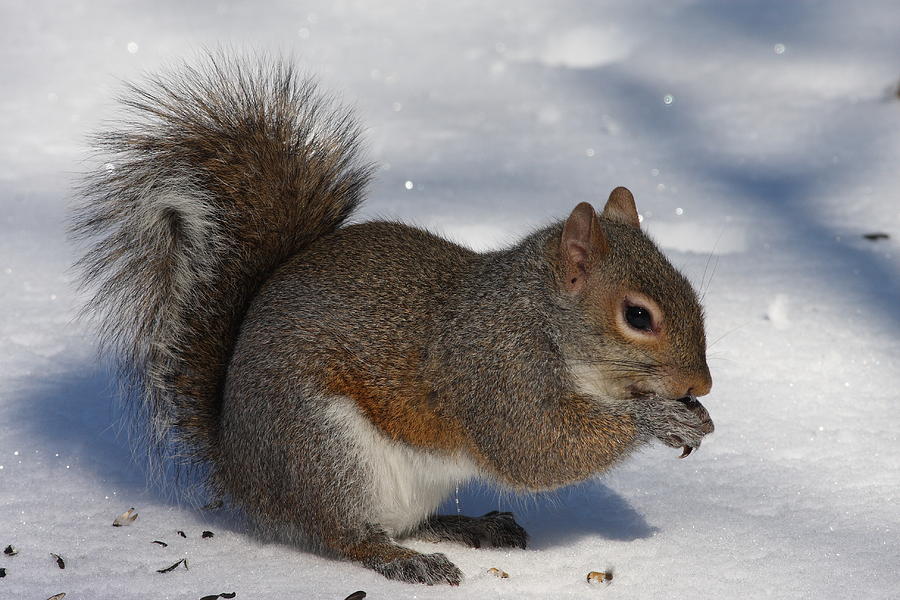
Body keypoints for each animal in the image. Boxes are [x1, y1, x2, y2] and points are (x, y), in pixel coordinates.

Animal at [74, 56, 712, 584]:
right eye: (637, 315)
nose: (701, 385)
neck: (538, 317)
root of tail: (242, 471)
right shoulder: (495, 373)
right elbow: (534, 449)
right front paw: (660, 419)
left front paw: (693, 417)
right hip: (325, 451)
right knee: (347, 537)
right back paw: (404, 560)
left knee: (404, 523)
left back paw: (469, 527)